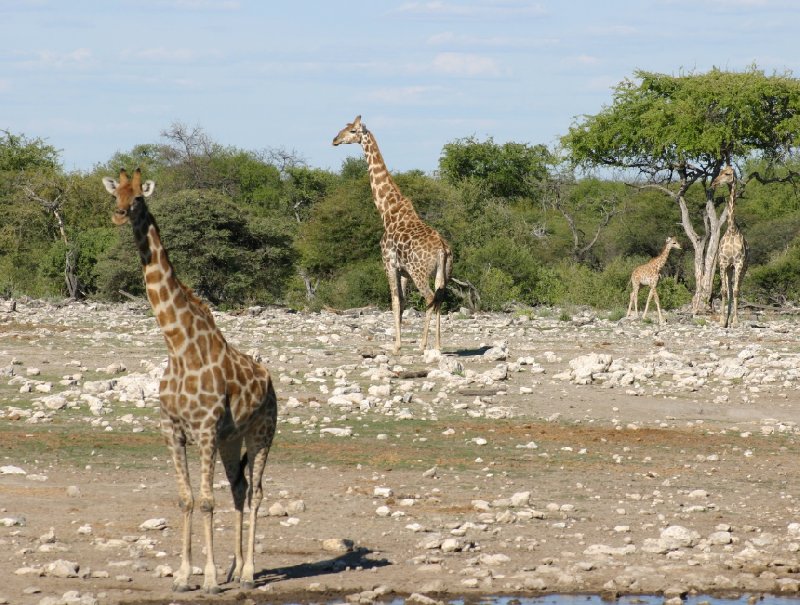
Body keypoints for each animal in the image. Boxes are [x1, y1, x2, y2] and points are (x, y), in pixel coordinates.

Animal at [101, 168, 276, 592]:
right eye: (116, 194)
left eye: (138, 198)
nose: (119, 214)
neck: (178, 347)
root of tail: (270, 380)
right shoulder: (173, 429)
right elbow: (187, 499)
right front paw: (183, 575)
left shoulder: (206, 429)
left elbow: (207, 501)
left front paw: (208, 579)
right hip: (232, 440)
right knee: (239, 489)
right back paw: (234, 568)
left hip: (262, 432)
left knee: (257, 493)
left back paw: (248, 573)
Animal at [332, 115, 454, 352]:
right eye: (344, 127)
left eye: (352, 131)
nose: (335, 140)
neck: (387, 211)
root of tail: (443, 249)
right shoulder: (403, 271)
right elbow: (403, 302)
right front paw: (400, 342)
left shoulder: (388, 263)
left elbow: (395, 301)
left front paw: (396, 345)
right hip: (444, 273)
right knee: (439, 299)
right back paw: (437, 344)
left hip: (420, 272)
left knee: (429, 298)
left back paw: (423, 344)